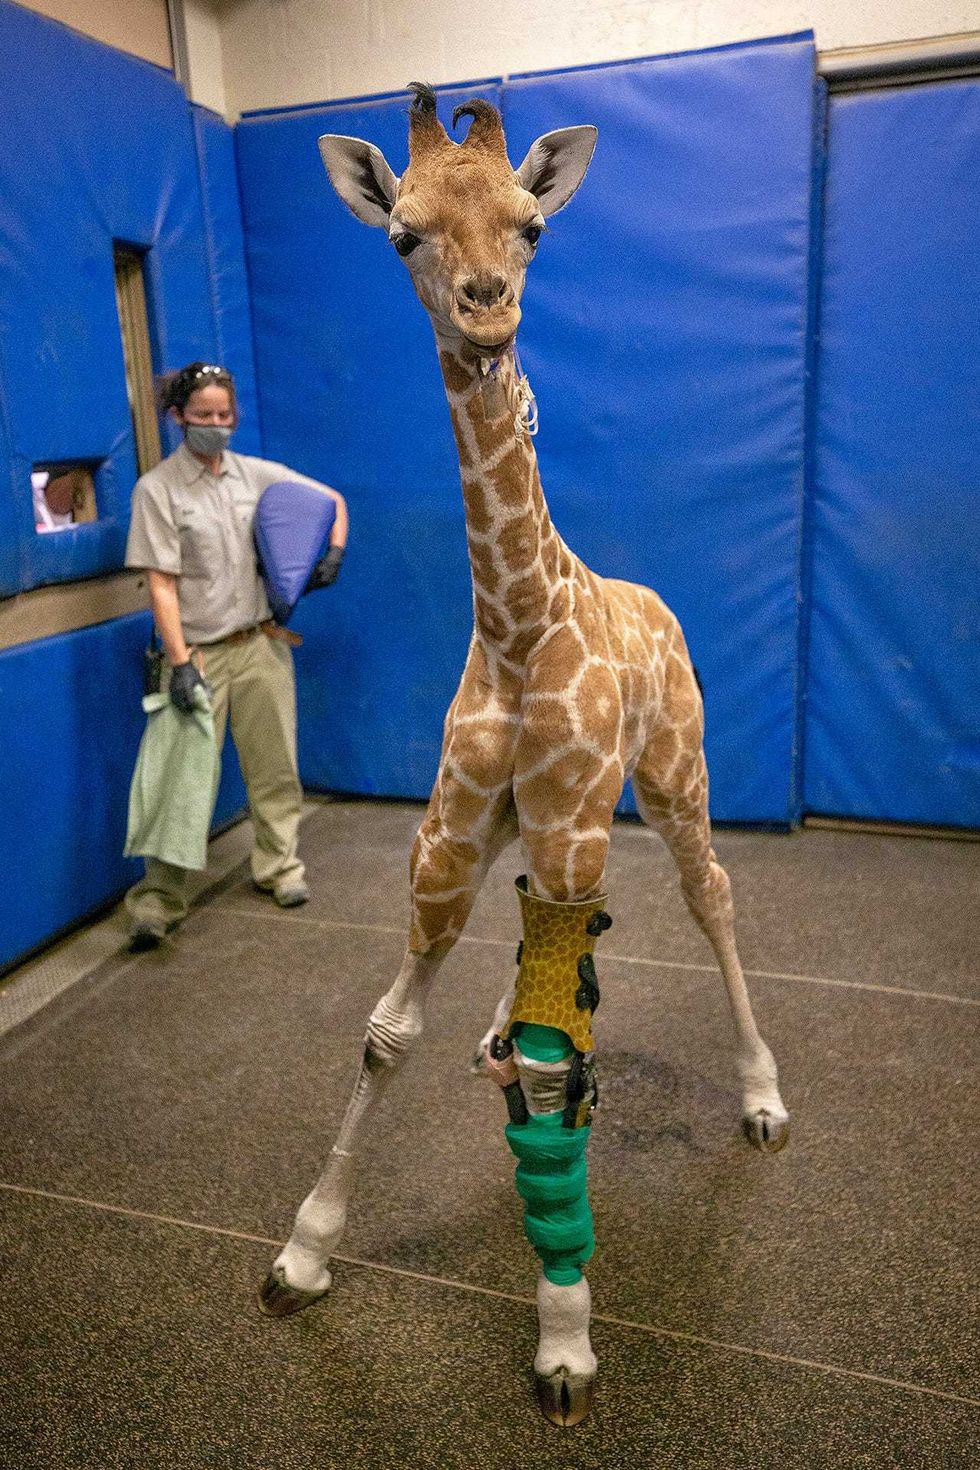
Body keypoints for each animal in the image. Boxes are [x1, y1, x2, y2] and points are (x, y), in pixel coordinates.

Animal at [259, 84, 789, 1428]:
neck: (515, 624)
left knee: (713, 897)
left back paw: (762, 1099)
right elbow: (386, 1035)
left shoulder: (563, 823)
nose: (486, 304)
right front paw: (302, 1252)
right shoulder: (448, 836)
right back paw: (494, 1039)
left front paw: (563, 1342)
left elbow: (560, 1074)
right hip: (544, 827)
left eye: (531, 226)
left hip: (670, 780)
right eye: (400, 233)